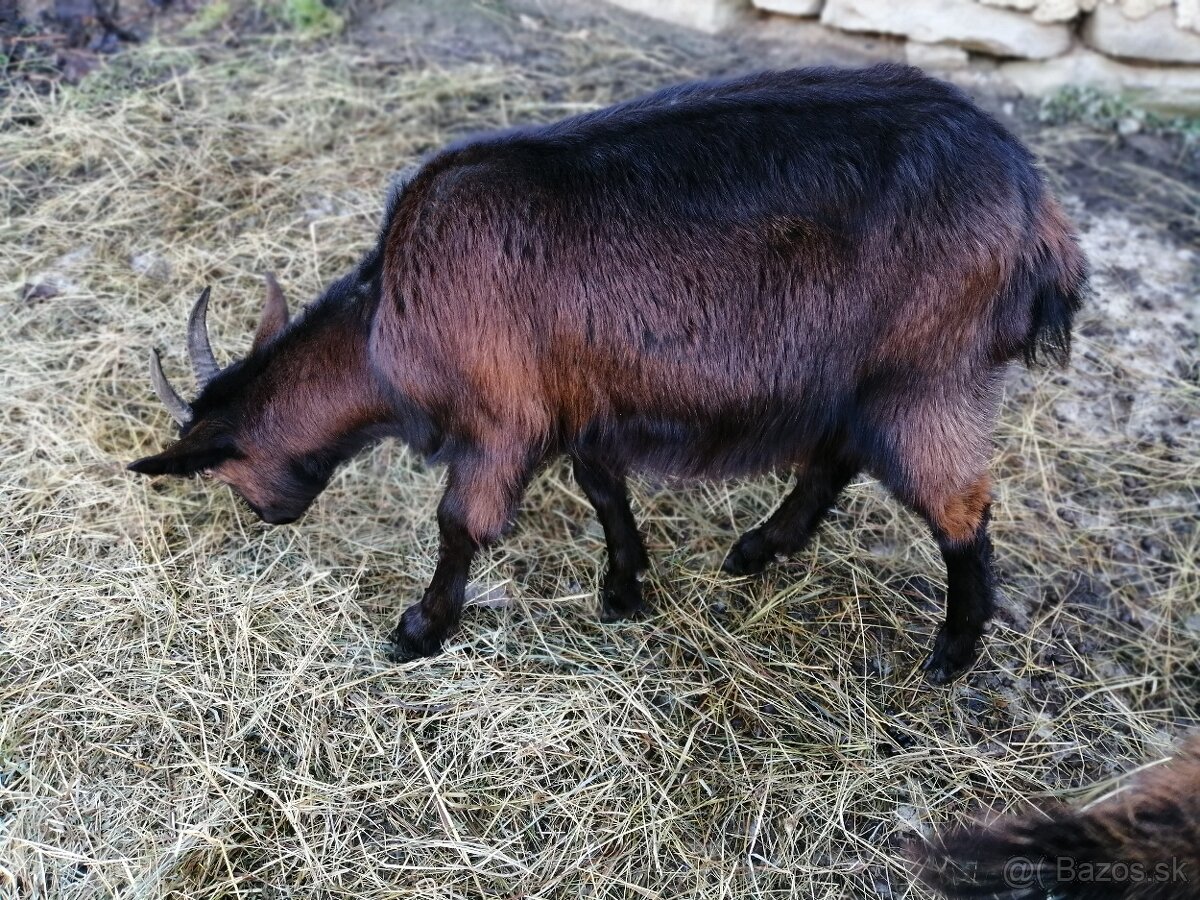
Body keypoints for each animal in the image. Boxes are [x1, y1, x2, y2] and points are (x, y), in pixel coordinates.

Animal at [129, 63, 1089, 681]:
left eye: (226, 472)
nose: (268, 517)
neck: (386, 321)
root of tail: (1036, 208)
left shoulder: (502, 418)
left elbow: (460, 525)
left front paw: (418, 630)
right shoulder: (579, 397)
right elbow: (601, 486)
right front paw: (625, 586)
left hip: (928, 371)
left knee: (960, 509)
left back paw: (951, 655)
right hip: (865, 377)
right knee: (839, 458)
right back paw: (756, 550)